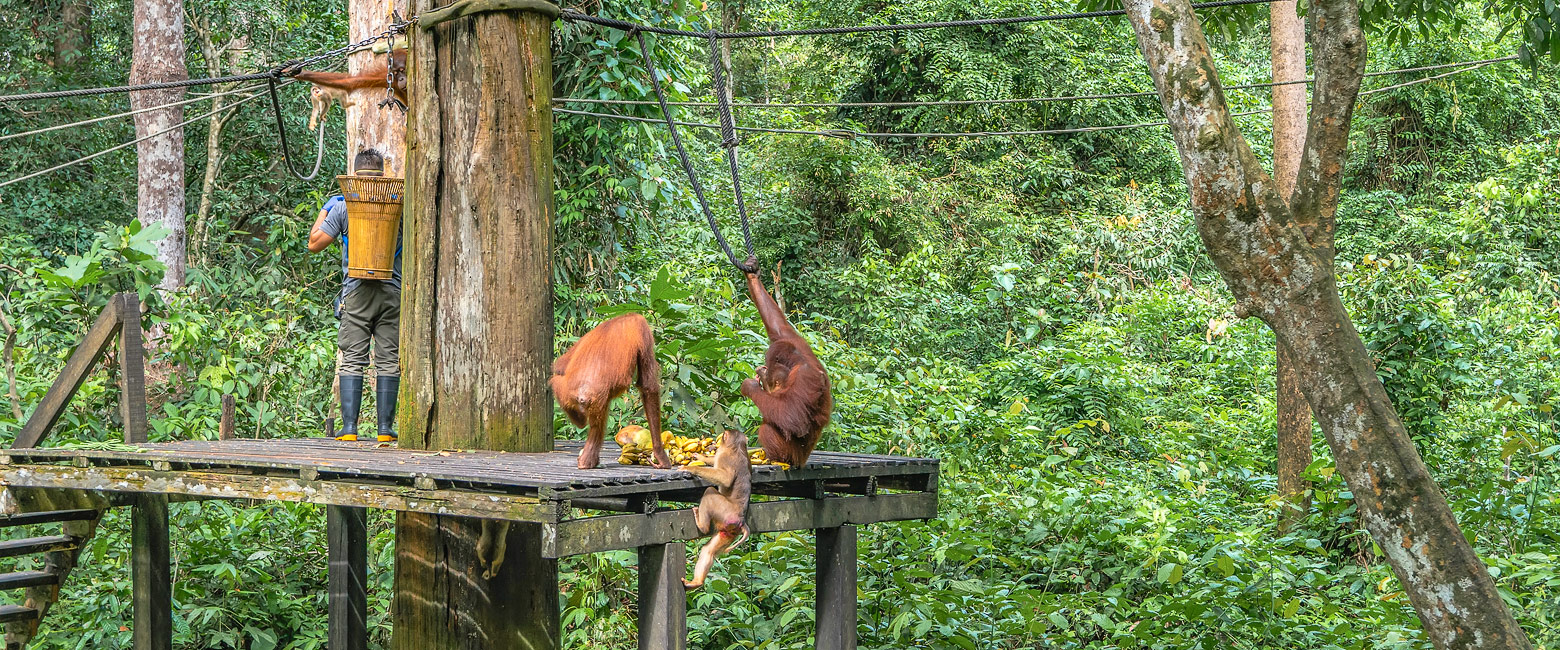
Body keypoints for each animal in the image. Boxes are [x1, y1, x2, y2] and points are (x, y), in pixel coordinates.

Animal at [551, 313, 672, 470]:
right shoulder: (642, 329)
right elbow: (648, 386)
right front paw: (660, 455)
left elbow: (561, 364)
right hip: (591, 397)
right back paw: (587, 460)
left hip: (569, 393)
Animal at [682, 428, 752, 589]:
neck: (737, 447)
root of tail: (741, 520)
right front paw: (700, 456)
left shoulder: (726, 457)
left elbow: (725, 478)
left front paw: (692, 468)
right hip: (729, 531)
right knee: (709, 551)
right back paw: (697, 582)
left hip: (725, 512)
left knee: (709, 493)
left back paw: (702, 526)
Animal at [740, 259, 833, 467]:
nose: (764, 368)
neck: (798, 363)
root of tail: (803, 461)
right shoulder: (795, 341)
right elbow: (778, 326)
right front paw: (752, 273)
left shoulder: (806, 376)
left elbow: (793, 418)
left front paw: (751, 386)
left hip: (792, 454)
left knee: (768, 427)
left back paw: (773, 458)